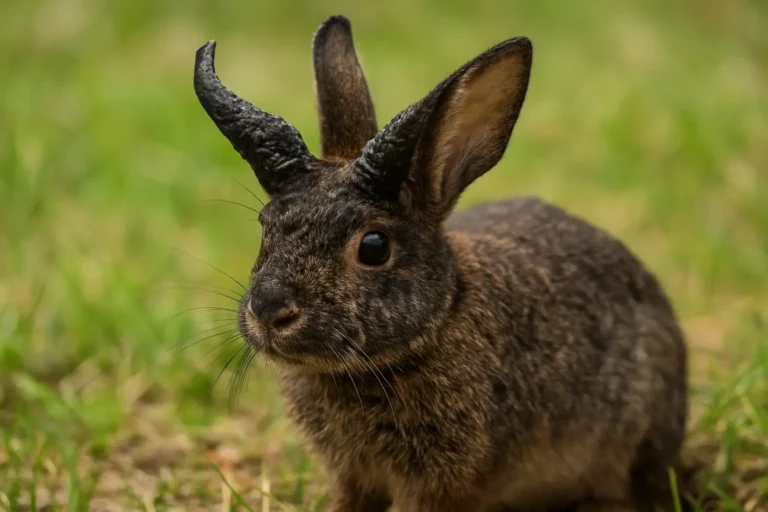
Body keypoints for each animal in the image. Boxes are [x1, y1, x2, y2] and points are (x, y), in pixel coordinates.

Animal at [193, 14, 689, 512]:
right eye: (265, 226)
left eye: (374, 246)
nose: (270, 311)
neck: (439, 319)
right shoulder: (355, 476)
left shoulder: (443, 482)